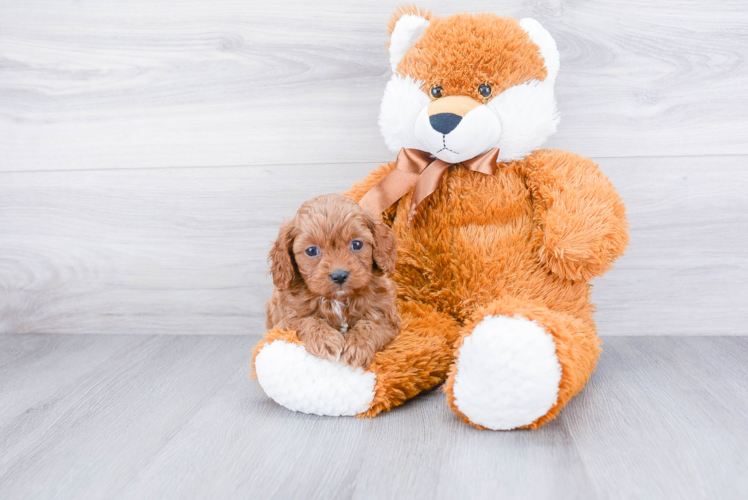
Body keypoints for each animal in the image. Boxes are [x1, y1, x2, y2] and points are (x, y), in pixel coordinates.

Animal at [266, 193, 400, 370]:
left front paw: (356, 347)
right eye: (311, 250)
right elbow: (306, 320)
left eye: (357, 244)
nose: (339, 276)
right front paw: (326, 340)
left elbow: (370, 325)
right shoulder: (285, 320)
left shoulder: (387, 317)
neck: (337, 299)